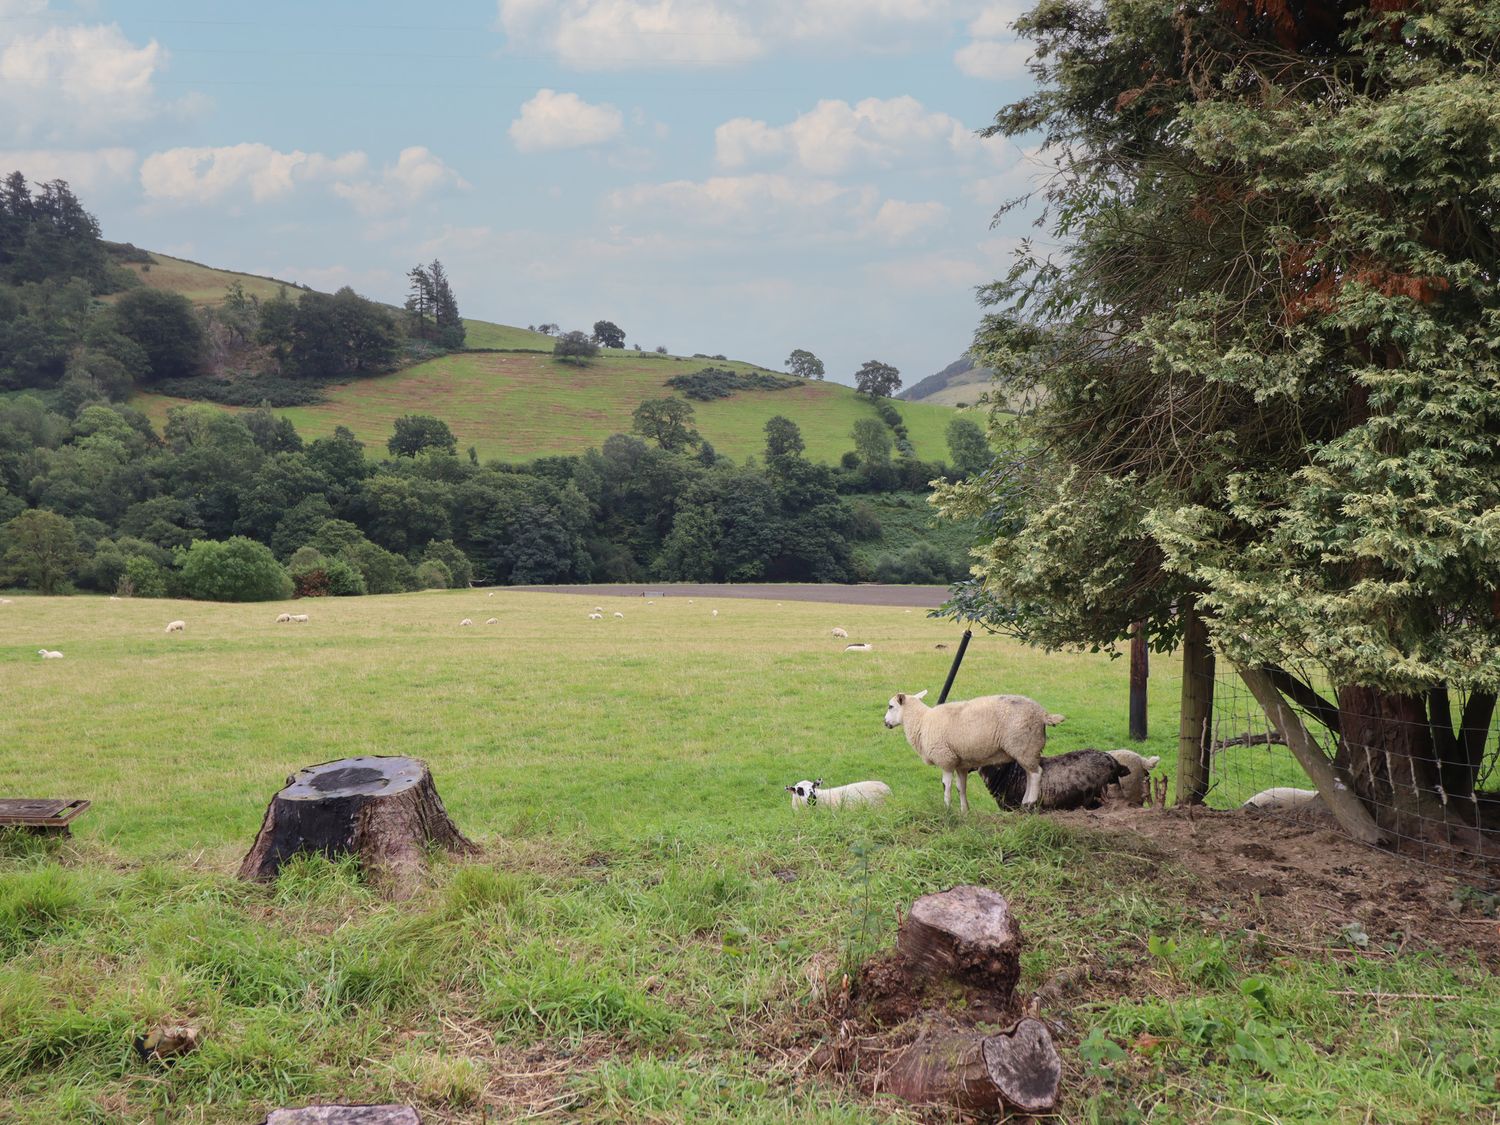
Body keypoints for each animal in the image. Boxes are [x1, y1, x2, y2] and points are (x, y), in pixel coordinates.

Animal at [876, 693, 1068, 816]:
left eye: (891, 706)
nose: (885, 723)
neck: (921, 721)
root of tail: (1042, 714)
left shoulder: (945, 759)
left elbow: (946, 786)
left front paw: (947, 809)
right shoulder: (961, 764)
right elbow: (961, 787)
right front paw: (964, 811)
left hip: (1023, 744)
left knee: (1036, 774)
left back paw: (1030, 803)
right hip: (1026, 748)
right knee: (1030, 774)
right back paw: (1025, 802)